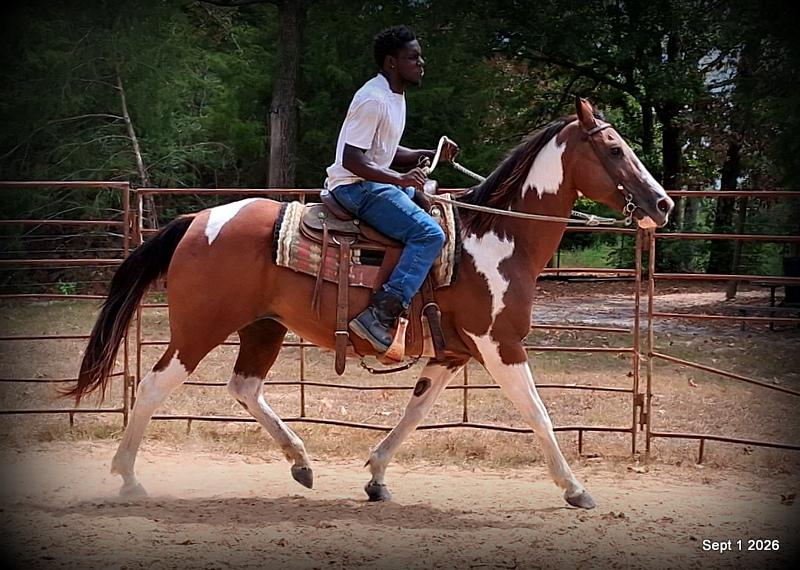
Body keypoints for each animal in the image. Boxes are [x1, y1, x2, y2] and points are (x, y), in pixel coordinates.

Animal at [68, 98, 673, 509]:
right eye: (614, 149)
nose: (662, 204)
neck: (498, 239)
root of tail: (198, 220)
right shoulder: (500, 345)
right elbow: (539, 414)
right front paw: (575, 488)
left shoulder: (452, 353)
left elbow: (416, 411)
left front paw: (377, 475)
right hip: (200, 328)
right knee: (154, 386)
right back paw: (128, 477)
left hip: (264, 327)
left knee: (244, 387)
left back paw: (301, 463)